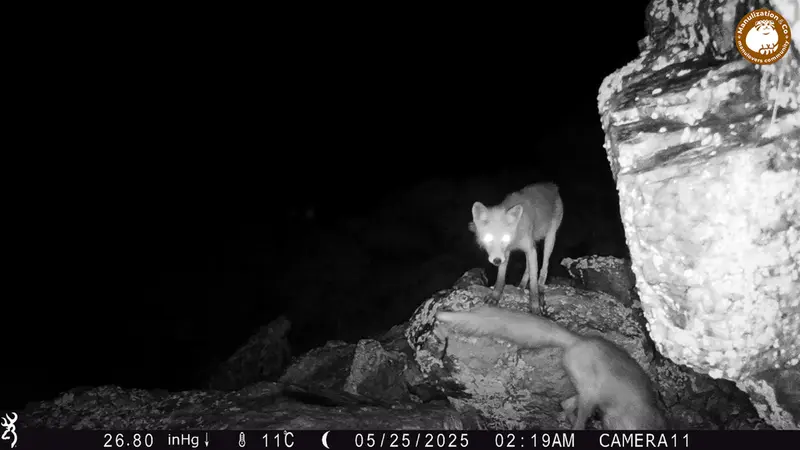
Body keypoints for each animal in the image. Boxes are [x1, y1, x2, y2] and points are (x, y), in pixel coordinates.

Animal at [436, 305, 667, 430]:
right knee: (576, 415)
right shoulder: (616, 420)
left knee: (566, 404)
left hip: (587, 392)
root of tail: (577, 340)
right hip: (590, 393)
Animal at [470, 182, 564, 315]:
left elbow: (533, 284)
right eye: (488, 238)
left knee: (544, 267)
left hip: (550, 240)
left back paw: (540, 288)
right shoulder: (508, 253)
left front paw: (535, 307)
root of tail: (551, 185)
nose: (496, 261)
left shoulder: (529, 249)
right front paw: (495, 296)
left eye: (505, 237)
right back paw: (522, 286)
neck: (515, 238)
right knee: (528, 268)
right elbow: (501, 278)